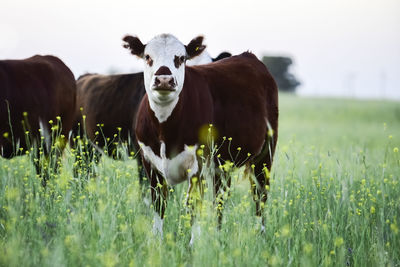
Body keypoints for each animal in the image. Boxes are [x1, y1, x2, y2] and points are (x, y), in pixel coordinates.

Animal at [122, 33, 278, 239]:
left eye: (181, 58)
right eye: (148, 57)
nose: (164, 79)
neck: (165, 129)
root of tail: (249, 56)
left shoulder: (198, 165)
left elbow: (193, 206)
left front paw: (193, 244)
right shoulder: (149, 163)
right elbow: (158, 203)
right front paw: (157, 241)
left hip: (264, 155)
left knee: (259, 195)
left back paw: (260, 235)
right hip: (222, 164)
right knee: (220, 198)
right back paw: (218, 236)